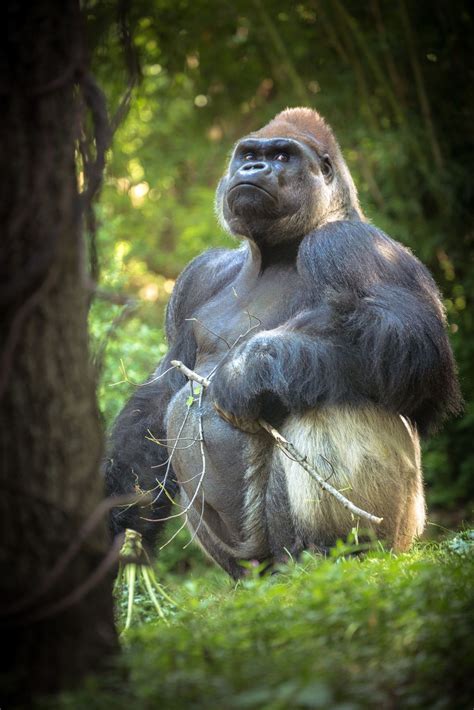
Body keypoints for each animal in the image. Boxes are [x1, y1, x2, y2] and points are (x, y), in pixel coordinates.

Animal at [103, 108, 460, 580]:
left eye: (282, 156)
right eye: (249, 154)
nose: (255, 168)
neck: (270, 253)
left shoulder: (351, 245)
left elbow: (415, 344)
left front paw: (246, 372)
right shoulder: (198, 277)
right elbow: (158, 398)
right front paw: (117, 528)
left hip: (399, 532)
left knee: (326, 393)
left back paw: (334, 553)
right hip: (247, 564)